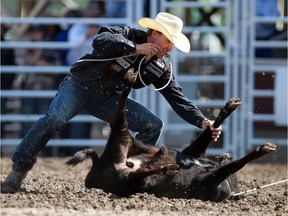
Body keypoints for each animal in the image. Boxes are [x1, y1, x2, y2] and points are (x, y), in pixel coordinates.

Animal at [66, 68, 278, 202]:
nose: (224, 155)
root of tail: (96, 169)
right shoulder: (206, 176)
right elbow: (229, 161)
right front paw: (262, 148)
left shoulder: (196, 157)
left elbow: (209, 138)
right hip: (128, 168)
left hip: (125, 150)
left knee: (131, 154)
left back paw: (165, 165)